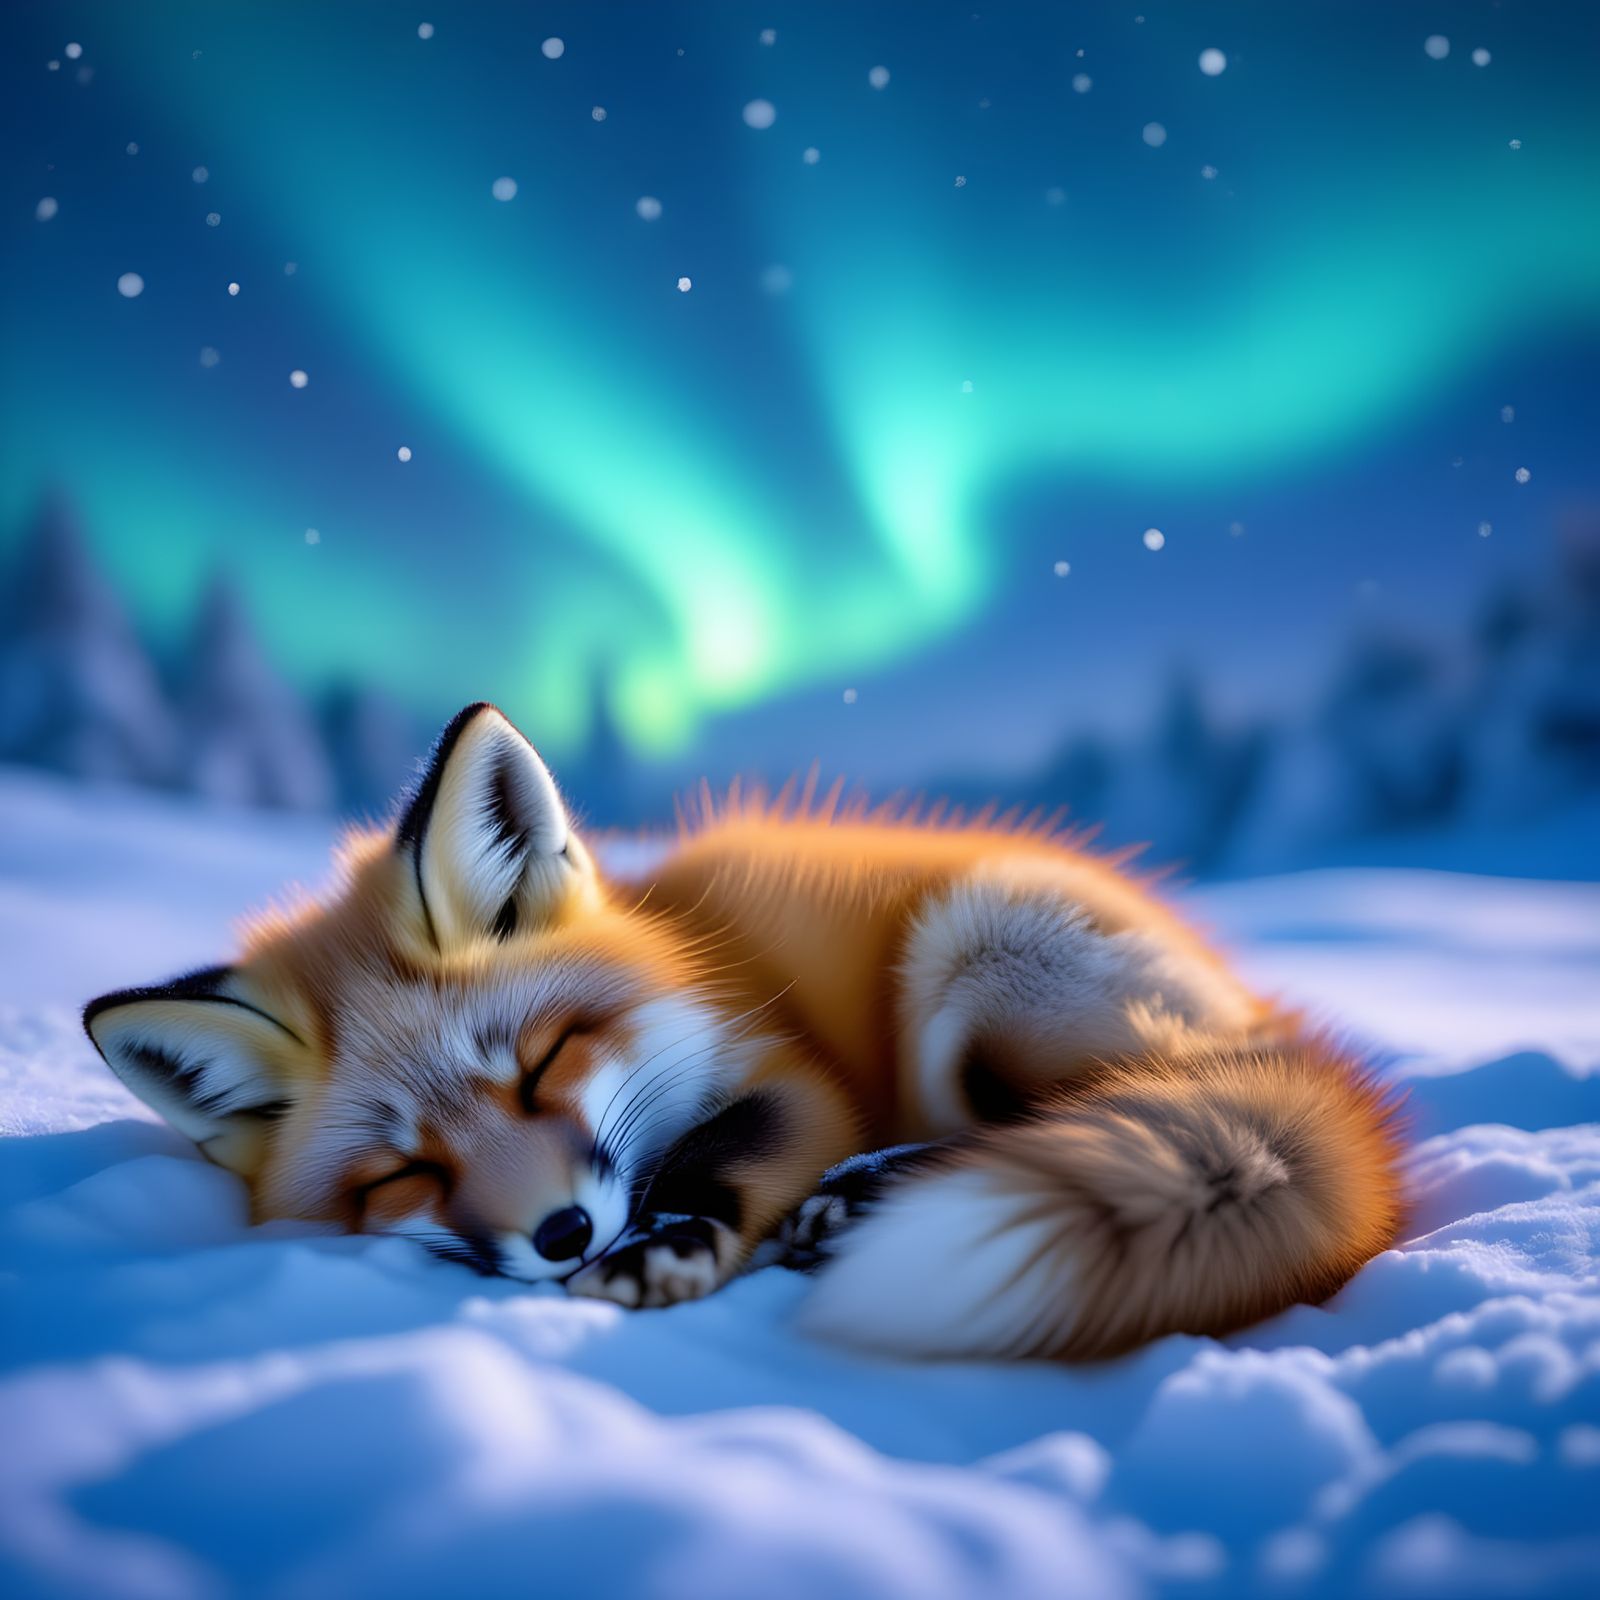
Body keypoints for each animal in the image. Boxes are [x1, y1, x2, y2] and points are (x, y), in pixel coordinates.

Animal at [83, 701, 1403, 1361]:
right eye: (403, 1171)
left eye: (543, 1064)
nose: (562, 1234)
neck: (683, 949)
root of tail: (1260, 1013)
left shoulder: (789, 1073)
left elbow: (721, 1152)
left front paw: (667, 1243)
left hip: (969, 964)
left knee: (1088, 1111)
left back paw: (865, 1194)